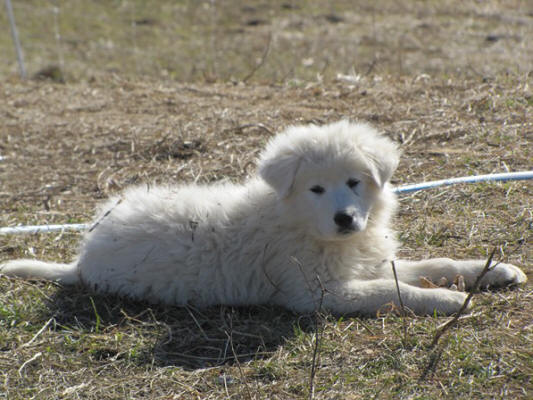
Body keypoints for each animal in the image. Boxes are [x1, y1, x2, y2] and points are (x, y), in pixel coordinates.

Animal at [0, 120, 524, 314]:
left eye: (354, 182)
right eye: (316, 189)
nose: (345, 220)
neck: (299, 223)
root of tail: (83, 258)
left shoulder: (367, 261)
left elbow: (435, 264)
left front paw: (495, 270)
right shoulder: (316, 292)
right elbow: (390, 290)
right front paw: (447, 301)